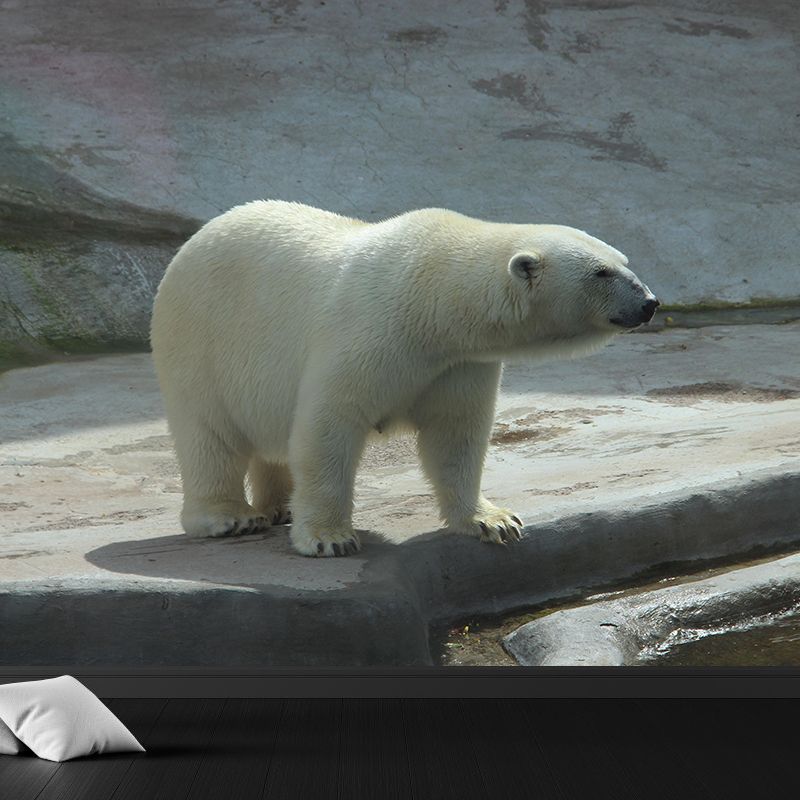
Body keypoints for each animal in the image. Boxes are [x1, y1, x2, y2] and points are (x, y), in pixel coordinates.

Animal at [150, 201, 658, 557]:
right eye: (601, 272)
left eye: (624, 260)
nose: (650, 302)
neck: (433, 298)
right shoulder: (370, 332)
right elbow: (329, 425)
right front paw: (330, 538)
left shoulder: (458, 363)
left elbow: (455, 435)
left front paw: (494, 521)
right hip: (199, 340)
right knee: (209, 434)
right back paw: (230, 517)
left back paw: (280, 505)